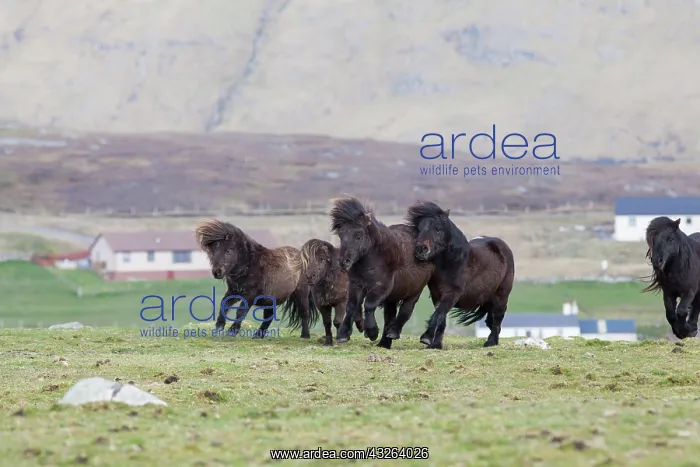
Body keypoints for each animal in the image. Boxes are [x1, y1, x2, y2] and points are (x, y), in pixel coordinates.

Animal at [329, 195, 434, 349]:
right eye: (341, 236)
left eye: (358, 235)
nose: (344, 262)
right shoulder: (355, 285)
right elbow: (352, 306)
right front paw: (343, 334)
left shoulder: (381, 287)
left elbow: (369, 305)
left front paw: (372, 332)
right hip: (393, 298)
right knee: (389, 317)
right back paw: (384, 343)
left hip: (414, 291)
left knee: (406, 311)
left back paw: (393, 333)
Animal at [404, 201, 515, 349]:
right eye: (419, 229)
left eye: (438, 229)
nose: (421, 249)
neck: (453, 263)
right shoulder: (436, 295)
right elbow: (441, 318)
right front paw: (435, 345)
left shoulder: (452, 294)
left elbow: (438, 314)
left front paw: (426, 338)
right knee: (491, 321)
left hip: (502, 294)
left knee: (498, 317)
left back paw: (491, 342)